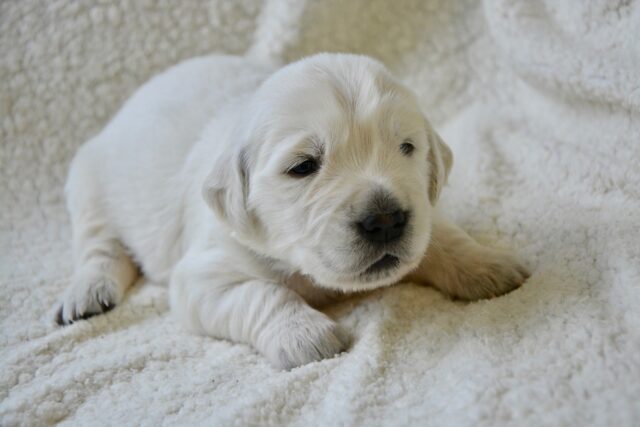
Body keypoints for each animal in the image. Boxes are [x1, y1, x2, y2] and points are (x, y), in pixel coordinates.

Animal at [57, 52, 528, 368]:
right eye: (303, 166)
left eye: (407, 148)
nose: (385, 220)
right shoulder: (201, 275)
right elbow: (264, 293)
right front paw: (306, 335)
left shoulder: (422, 215)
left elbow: (441, 237)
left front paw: (487, 264)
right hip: (87, 183)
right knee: (99, 246)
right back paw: (88, 293)